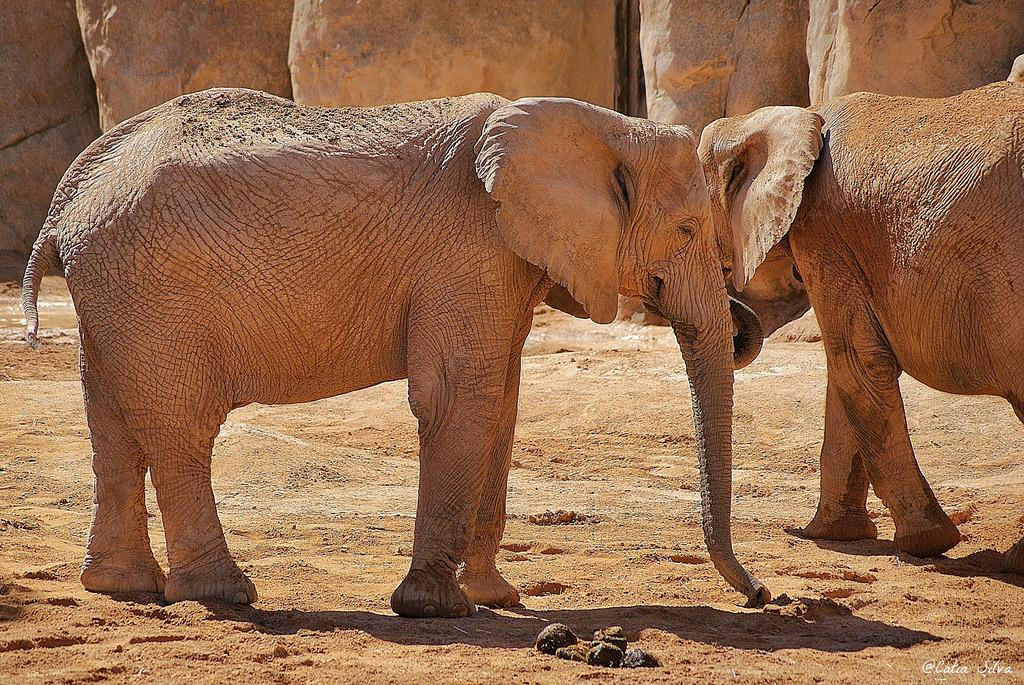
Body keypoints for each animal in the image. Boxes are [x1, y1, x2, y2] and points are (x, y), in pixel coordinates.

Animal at [22, 87, 769, 617]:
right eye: (688, 228)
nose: (762, 594)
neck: (599, 122)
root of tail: (67, 199)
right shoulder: (468, 247)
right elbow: (457, 398)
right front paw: (437, 608)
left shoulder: (502, 261)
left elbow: (501, 400)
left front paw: (498, 598)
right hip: (154, 288)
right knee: (182, 425)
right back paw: (223, 594)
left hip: (113, 292)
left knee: (110, 419)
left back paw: (122, 587)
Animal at [698, 80, 1024, 571]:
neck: (796, 115)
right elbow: (846, 375)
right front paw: (831, 534)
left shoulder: (824, 229)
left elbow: (856, 365)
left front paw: (927, 542)